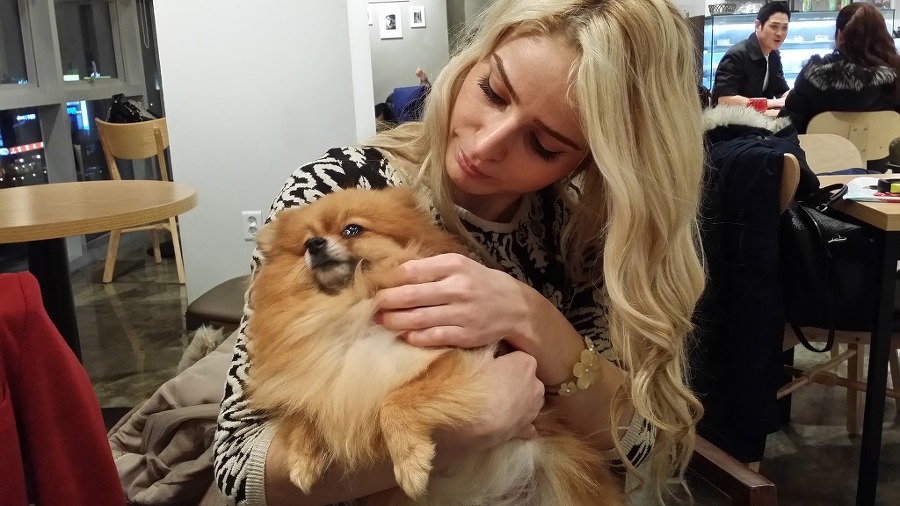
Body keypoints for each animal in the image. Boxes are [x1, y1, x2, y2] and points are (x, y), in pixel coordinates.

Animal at [246, 187, 624, 505]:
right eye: (305, 243)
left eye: (352, 230)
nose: (315, 245)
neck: (351, 305)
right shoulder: (327, 377)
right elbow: (305, 410)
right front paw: (301, 460)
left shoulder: (461, 358)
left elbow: (395, 401)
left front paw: (410, 462)